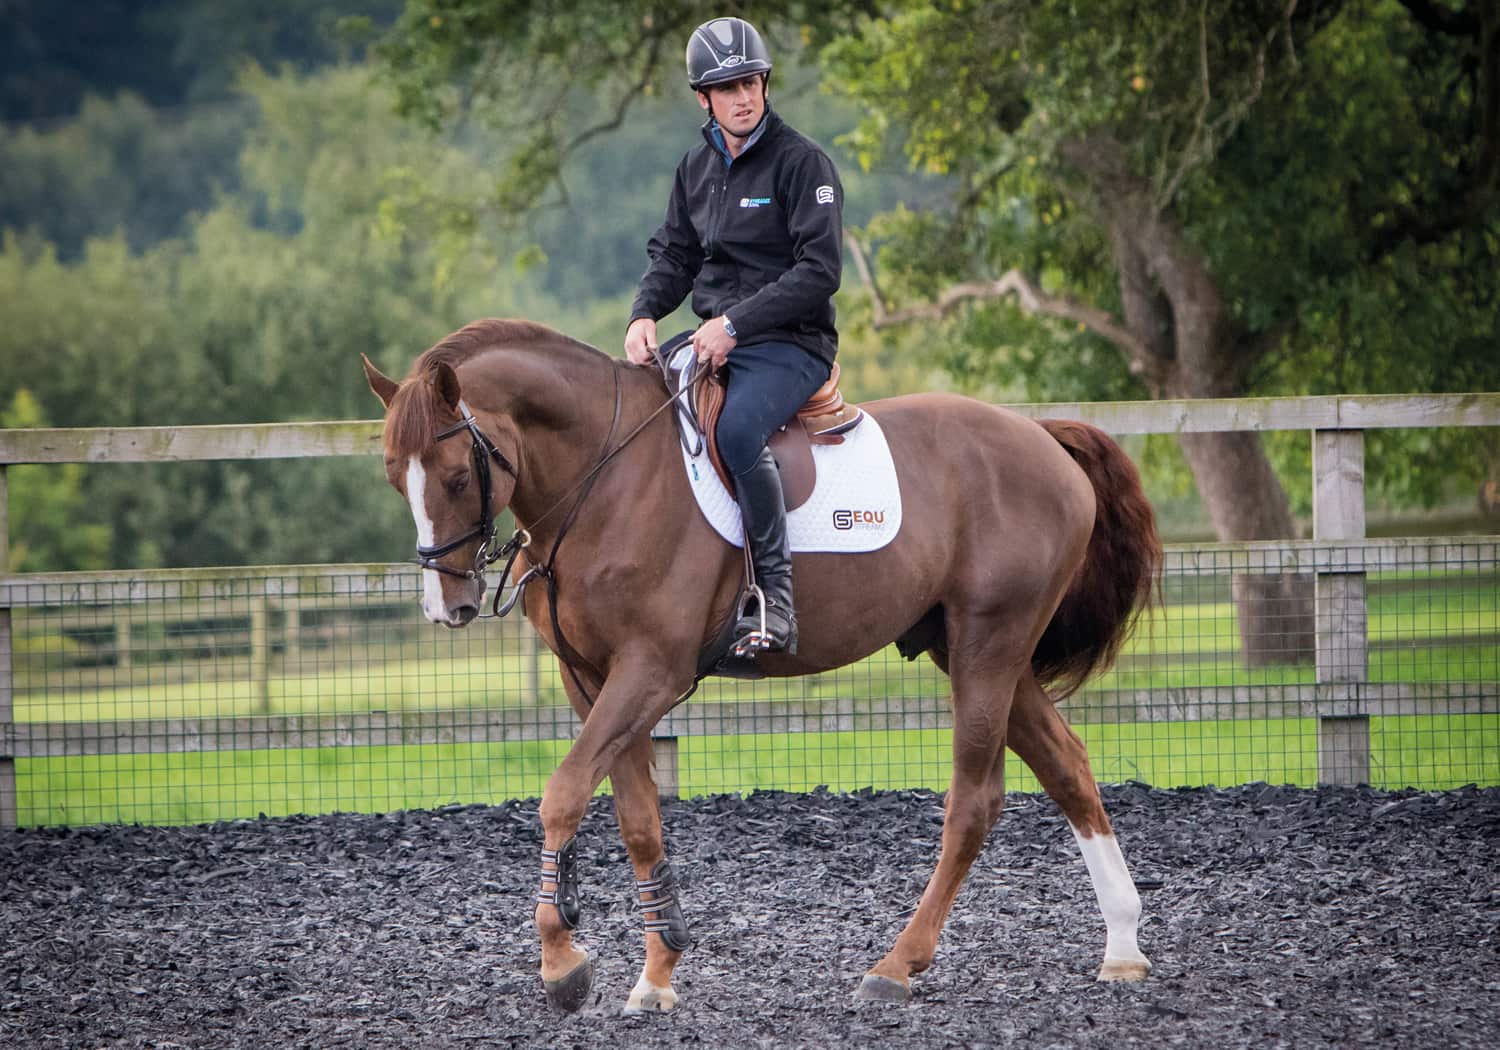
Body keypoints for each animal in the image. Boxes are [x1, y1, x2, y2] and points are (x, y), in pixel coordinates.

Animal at [361, 318, 1161, 1014]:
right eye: (394, 477)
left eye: (457, 475)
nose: (447, 607)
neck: (605, 475)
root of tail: (1041, 437)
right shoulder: (591, 680)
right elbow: (637, 820)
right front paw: (657, 976)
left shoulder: (650, 670)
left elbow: (561, 795)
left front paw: (563, 964)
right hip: (974, 647)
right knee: (1066, 765)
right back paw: (1123, 946)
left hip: (988, 644)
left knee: (975, 801)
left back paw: (896, 966)